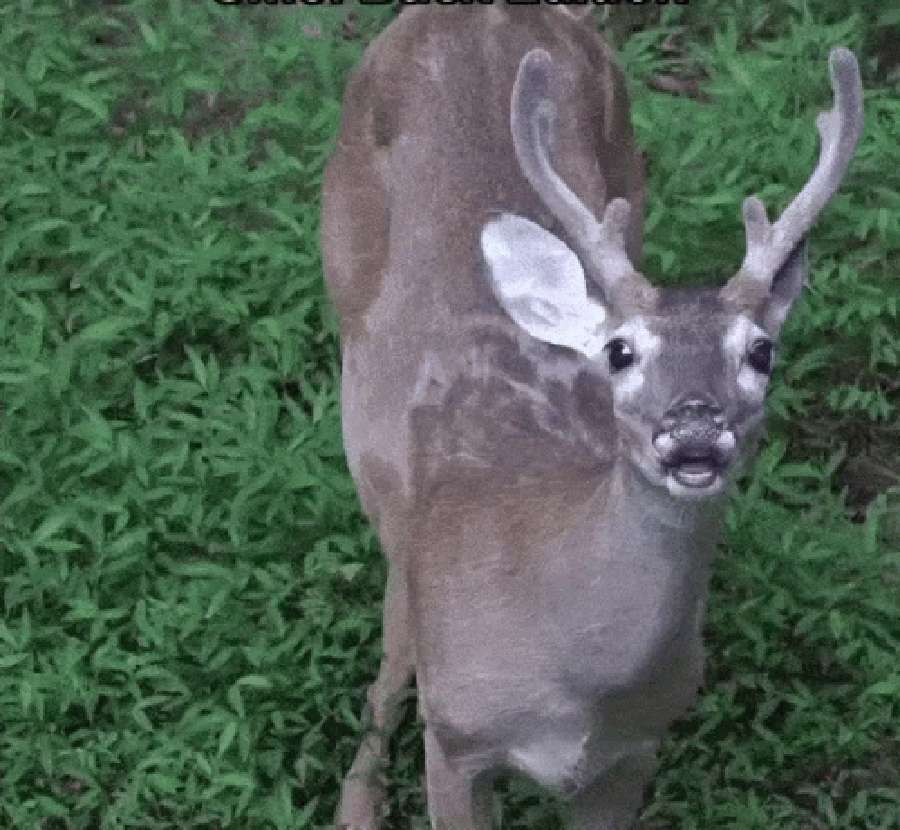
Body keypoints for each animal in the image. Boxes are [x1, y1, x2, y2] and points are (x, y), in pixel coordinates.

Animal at [320, 5, 863, 828]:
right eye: (620, 351)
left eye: (761, 350)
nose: (694, 429)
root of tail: (472, 11)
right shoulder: (456, 745)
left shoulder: (635, 752)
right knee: (393, 638)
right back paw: (357, 800)